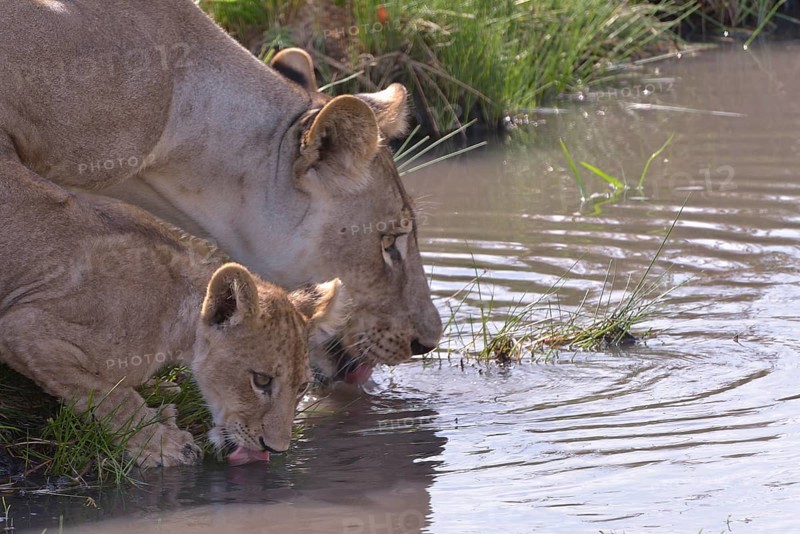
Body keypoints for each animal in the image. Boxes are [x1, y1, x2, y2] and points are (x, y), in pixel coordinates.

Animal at [0, 166, 347, 468]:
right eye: (261, 380)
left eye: (302, 387)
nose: (275, 449)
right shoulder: (23, 326)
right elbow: (110, 395)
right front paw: (164, 444)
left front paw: (161, 394)